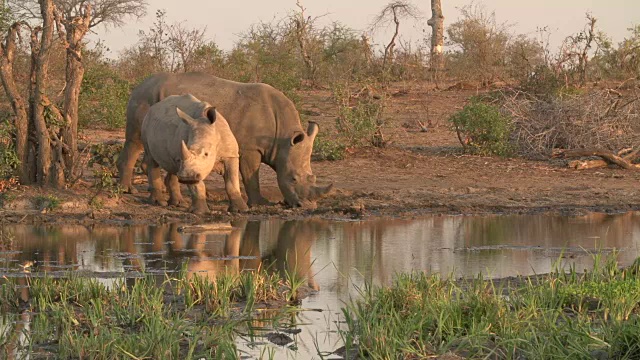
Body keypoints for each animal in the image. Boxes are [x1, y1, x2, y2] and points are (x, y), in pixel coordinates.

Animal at [117, 73, 332, 208]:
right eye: (293, 178)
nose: (308, 207)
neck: (282, 139)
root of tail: (141, 83)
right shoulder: (249, 148)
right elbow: (250, 175)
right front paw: (260, 204)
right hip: (144, 97)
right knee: (135, 140)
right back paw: (128, 190)